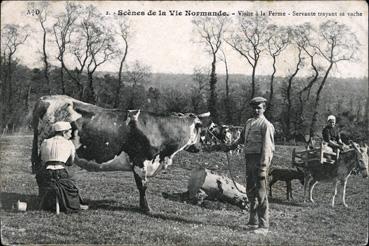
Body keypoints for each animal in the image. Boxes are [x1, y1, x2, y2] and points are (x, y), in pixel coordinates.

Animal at [31, 95, 210, 212]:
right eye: (201, 129)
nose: (200, 147)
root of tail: (46, 98)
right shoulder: (140, 162)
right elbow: (143, 186)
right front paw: (146, 208)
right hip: (42, 149)